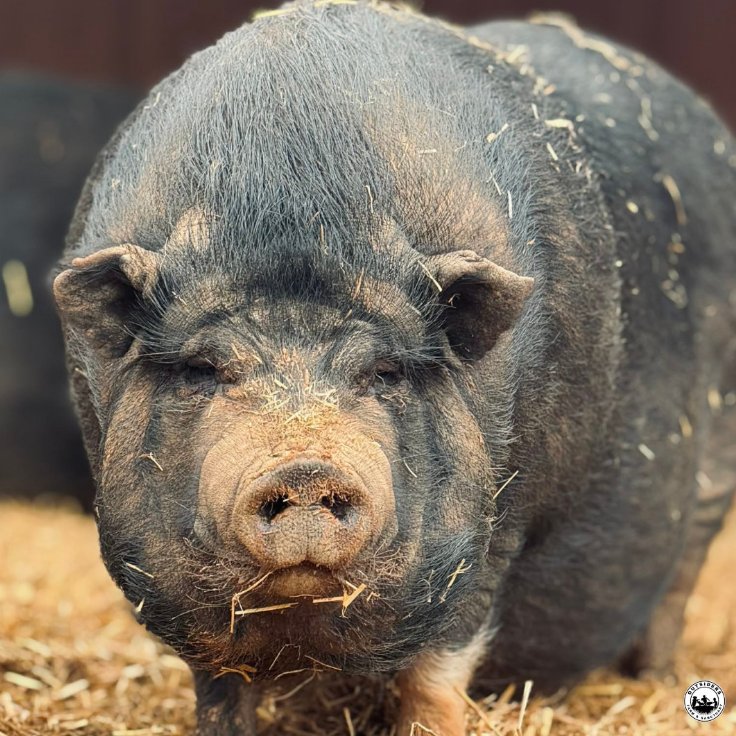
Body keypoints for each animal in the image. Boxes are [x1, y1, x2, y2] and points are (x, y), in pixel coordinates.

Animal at [53, 2, 736, 734]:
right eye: (205, 368)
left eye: (382, 371)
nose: (305, 467)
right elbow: (221, 688)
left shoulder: (493, 529)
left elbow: (435, 674)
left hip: (712, 475)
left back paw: (659, 681)